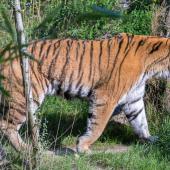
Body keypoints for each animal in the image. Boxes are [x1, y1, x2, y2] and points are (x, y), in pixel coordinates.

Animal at [0, 32, 169, 153]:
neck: (152, 66)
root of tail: (6, 52)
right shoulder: (105, 96)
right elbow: (98, 125)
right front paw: (83, 147)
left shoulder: (134, 98)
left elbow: (141, 121)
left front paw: (151, 139)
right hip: (26, 95)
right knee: (6, 125)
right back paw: (28, 150)